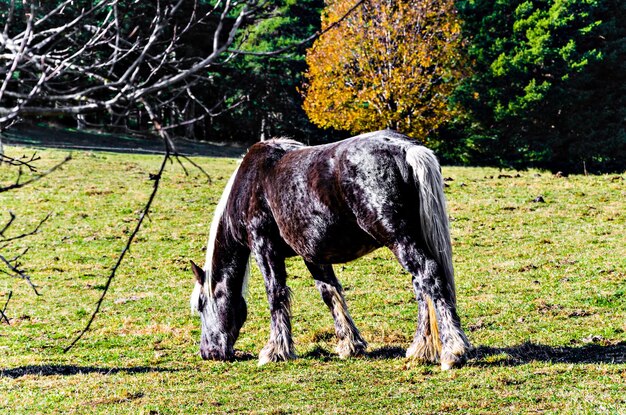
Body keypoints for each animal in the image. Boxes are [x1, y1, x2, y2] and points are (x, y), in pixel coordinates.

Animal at [188, 130, 470, 370]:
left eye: (201, 305)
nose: (208, 353)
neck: (251, 183)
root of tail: (405, 149)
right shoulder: (313, 255)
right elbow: (330, 293)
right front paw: (350, 345)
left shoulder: (264, 248)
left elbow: (275, 294)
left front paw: (275, 351)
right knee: (421, 286)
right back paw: (420, 350)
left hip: (399, 238)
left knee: (428, 276)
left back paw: (452, 352)